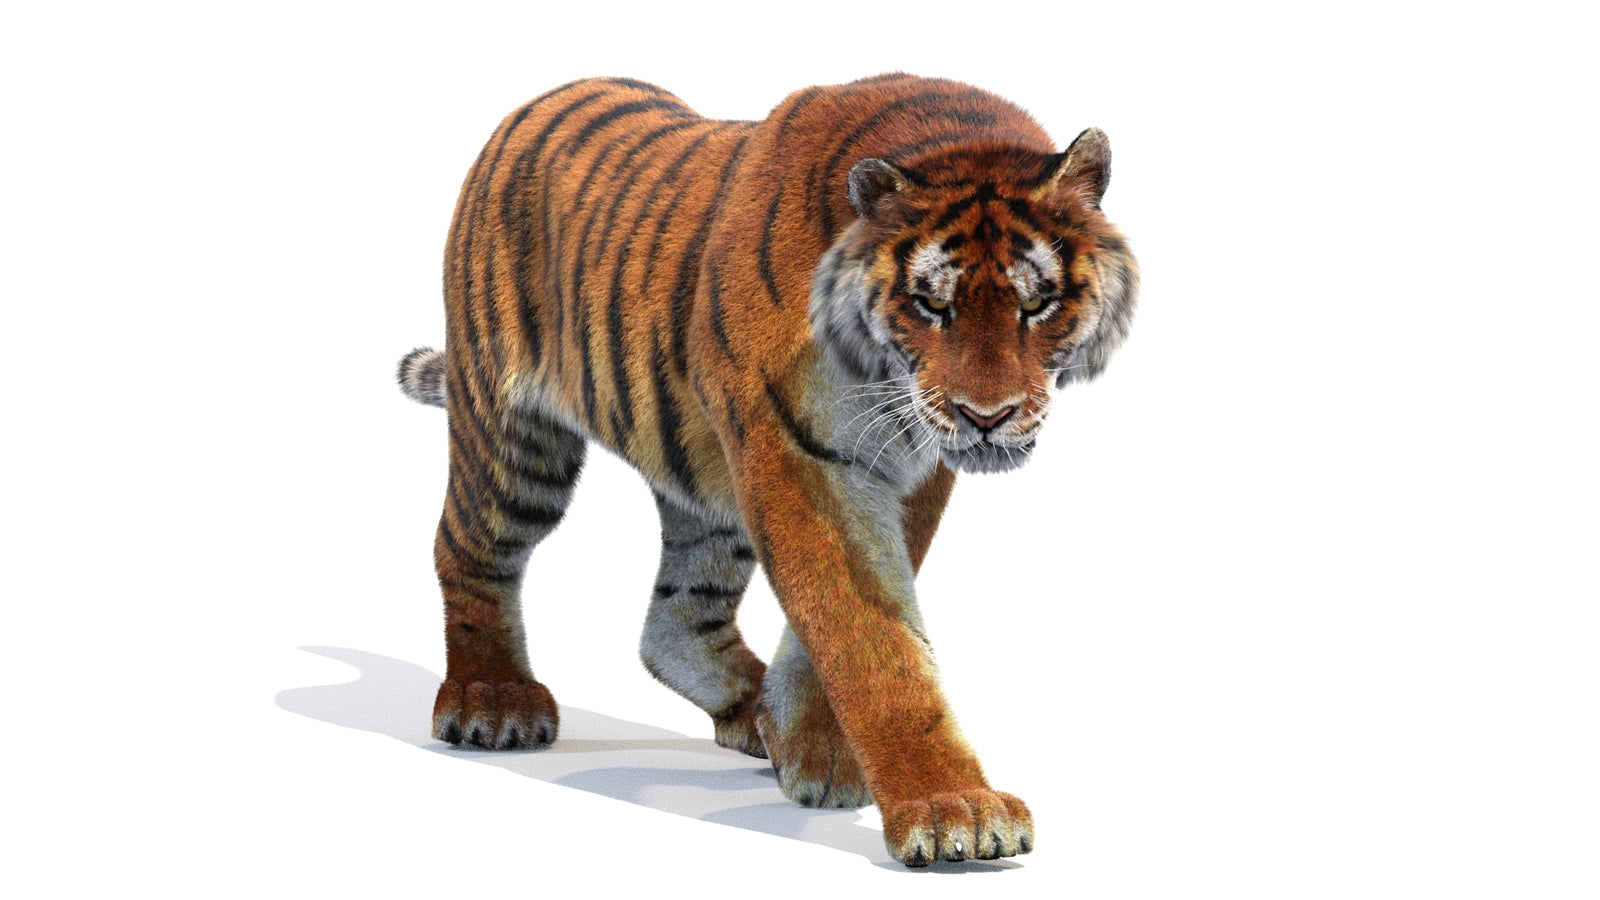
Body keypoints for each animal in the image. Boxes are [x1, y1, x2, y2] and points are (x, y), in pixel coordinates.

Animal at [396, 74, 1138, 867]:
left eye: (1039, 303)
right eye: (929, 304)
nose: (987, 416)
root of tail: (538, 101)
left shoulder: (907, 468)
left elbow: (846, 625)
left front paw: (811, 748)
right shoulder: (797, 454)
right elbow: (870, 639)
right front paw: (952, 809)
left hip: (706, 486)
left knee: (677, 620)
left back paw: (750, 712)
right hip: (514, 441)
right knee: (467, 550)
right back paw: (492, 700)